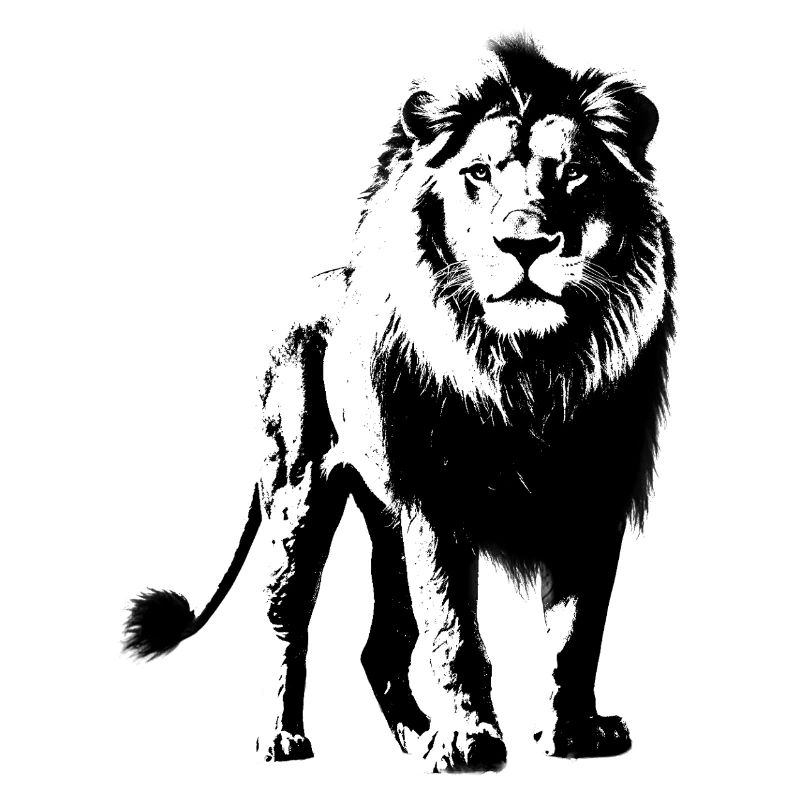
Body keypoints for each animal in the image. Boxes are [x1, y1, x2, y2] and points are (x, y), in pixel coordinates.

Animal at [124, 36, 674, 772]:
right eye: (479, 173)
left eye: (574, 174)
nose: (524, 241)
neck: (527, 367)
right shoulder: (437, 504)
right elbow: (454, 633)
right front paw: (470, 742)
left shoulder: (593, 498)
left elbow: (576, 633)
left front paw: (575, 733)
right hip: (299, 495)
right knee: (286, 621)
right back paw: (283, 736)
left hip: (386, 520)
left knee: (381, 644)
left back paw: (415, 735)